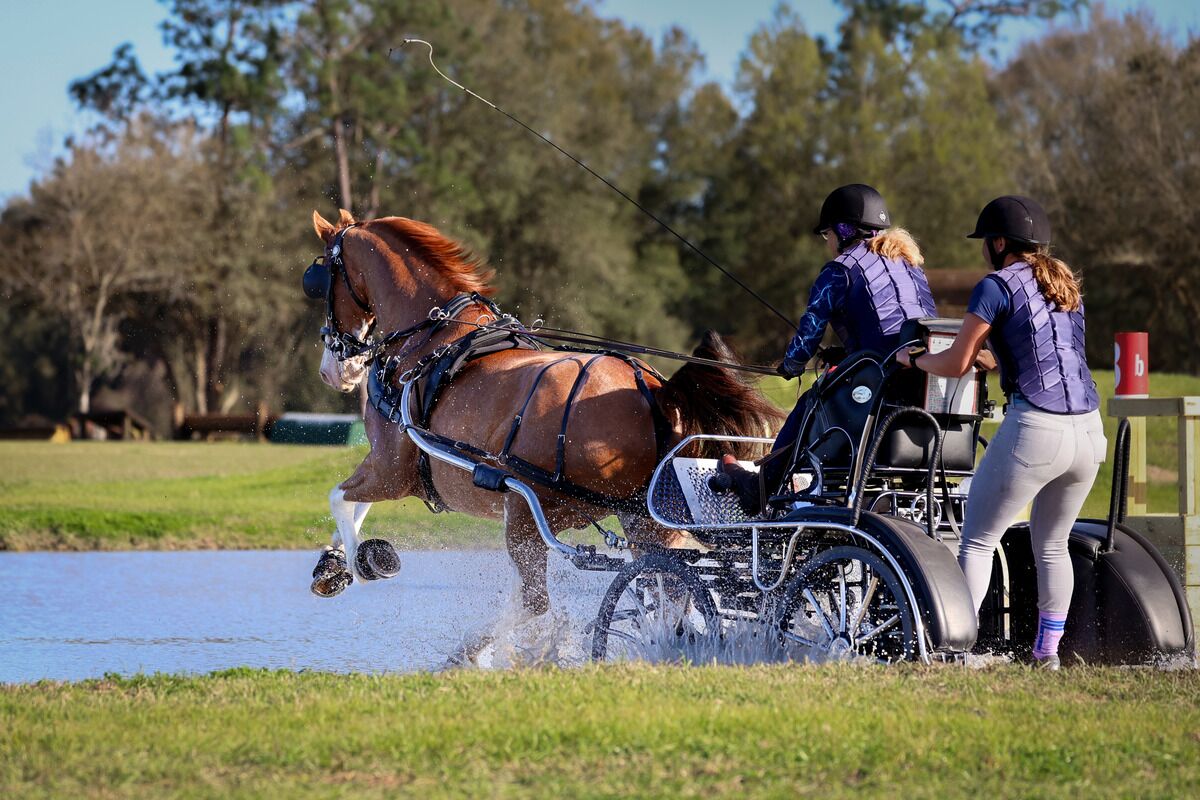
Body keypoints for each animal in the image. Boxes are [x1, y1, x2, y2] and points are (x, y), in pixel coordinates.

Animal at [306, 208, 782, 616]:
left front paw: (362, 561)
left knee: (539, 607)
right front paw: (333, 564)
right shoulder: (391, 466)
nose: (333, 370)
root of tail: (656, 391)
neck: (432, 337)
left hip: (527, 515)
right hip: (642, 517)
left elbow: (339, 497)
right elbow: (355, 505)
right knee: (673, 587)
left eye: (318, 279)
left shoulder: (391, 467)